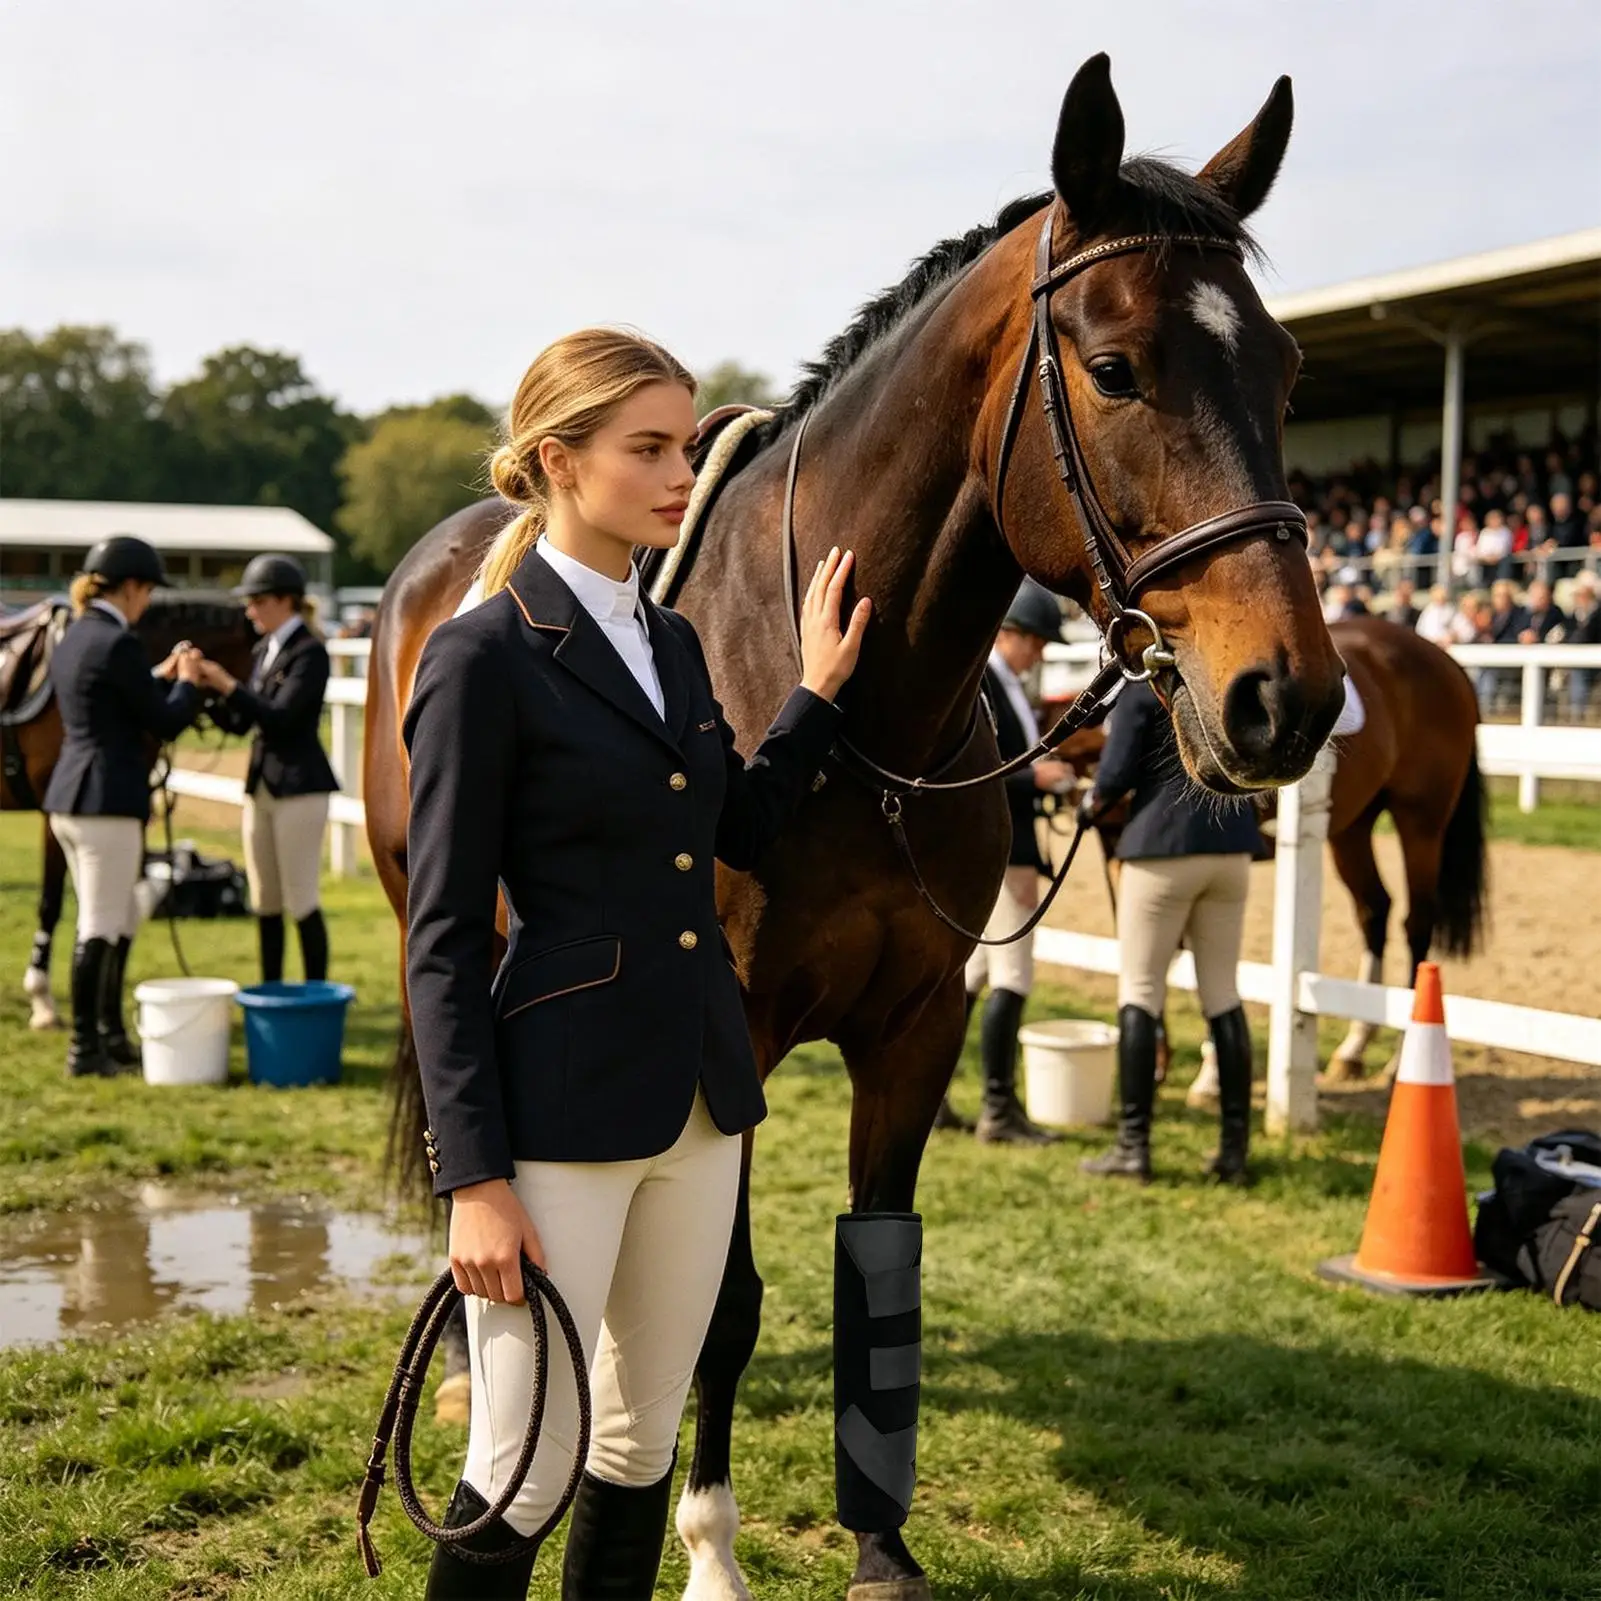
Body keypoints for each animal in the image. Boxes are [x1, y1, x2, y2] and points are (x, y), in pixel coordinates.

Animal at [364, 55, 1346, 1600]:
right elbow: (724, 1304)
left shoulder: (915, 1026)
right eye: (1115, 367)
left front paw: (879, 1541)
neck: (854, 730)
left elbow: (878, 1264)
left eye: (1285, 371)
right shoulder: (736, 1040)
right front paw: (710, 1549)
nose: (1283, 696)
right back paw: (476, 1357)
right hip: (426, 915)